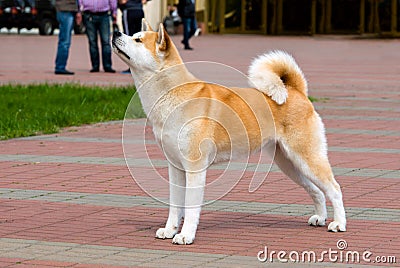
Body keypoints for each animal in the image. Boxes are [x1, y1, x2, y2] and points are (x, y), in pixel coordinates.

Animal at [112, 18, 346, 245]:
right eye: (133, 35)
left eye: (138, 40)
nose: (115, 32)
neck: (173, 94)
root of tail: (297, 92)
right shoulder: (176, 168)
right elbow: (175, 206)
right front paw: (169, 230)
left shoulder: (195, 168)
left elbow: (190, 207)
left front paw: (186, 235)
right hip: (290, 164)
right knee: (316, 190)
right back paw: (320, 218)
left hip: (307, 158)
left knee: (334, 188)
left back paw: (338, 224)